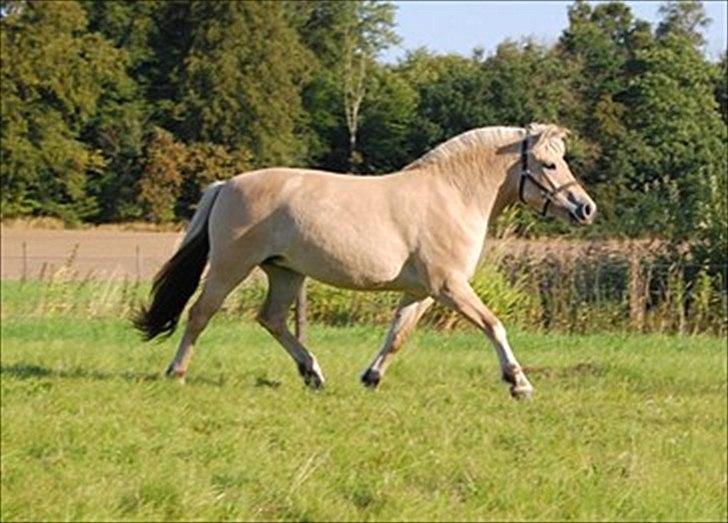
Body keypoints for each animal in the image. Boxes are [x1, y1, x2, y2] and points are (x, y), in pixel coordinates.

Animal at [134, 125, 596, 400]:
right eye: (550, 163)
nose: (585, 208)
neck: (452, 195)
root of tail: (226, 184)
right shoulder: (449, 286)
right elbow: (493, 325)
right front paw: (519, 383)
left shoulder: (422, 291)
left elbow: (397, 336)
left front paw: (371, 378)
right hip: (231, 267)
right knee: (200, 313)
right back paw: (177, 372)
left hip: (285, 272)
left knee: (272, 319)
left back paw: (313, 374)